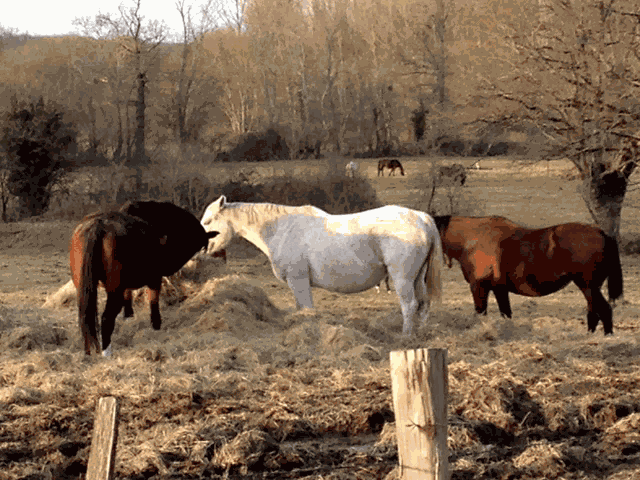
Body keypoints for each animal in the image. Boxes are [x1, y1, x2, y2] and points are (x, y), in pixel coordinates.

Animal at [70, 201, 219, 356]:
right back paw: (106, 353)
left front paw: (129, 315)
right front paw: (156, 325)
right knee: (106, 318)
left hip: (83, 288)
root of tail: (98, 225)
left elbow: (128, 298)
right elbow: (153, 303)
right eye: (202, 246)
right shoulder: (154, 278)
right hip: (114, 290)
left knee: (85, 317)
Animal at [201, 196, 443, 335]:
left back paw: (406, 336)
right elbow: (302, 309)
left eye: (208, 221)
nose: (202, 248)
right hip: (417, 278)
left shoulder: (298, 281)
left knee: (409, 305)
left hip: (402, 278)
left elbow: (307, 309)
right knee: (423, 304)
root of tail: (421, 218)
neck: (280, 228)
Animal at [434, 216, 623, 335]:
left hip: (588, 286)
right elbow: (506, 313)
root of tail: (601, 233)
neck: (471, 238)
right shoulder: (499, 289)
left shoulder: (479, 287)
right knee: (594, 312)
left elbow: (481, 313)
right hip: (590, 288)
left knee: (604, 310)